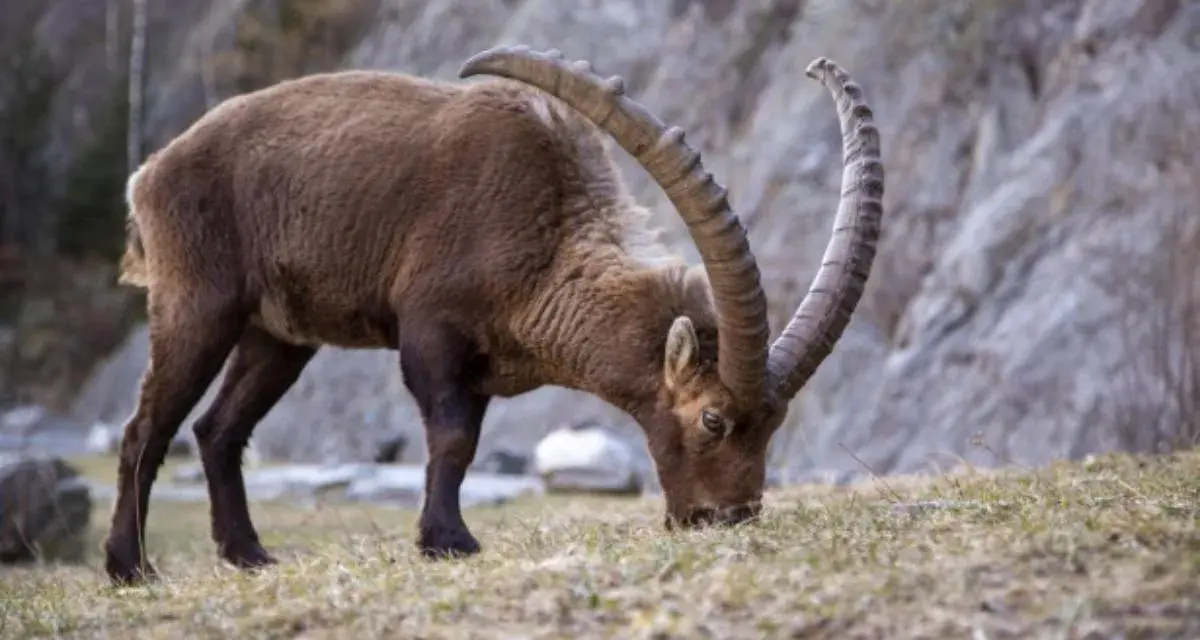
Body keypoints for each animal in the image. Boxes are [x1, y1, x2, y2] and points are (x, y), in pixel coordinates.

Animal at [104, 45, 884, 585]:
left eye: (774, 424)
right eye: (713, 419)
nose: (724, 519)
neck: (544, 234)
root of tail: (149, 174)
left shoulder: (477, 367)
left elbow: (466, 443)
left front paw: (442, 536)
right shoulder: (431, 334)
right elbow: (451, 440)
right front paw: (448, 542)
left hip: (278, 335)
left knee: (218, 430)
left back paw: (248, 555)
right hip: (199, 304)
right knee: (147, 429)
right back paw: (129, 567)